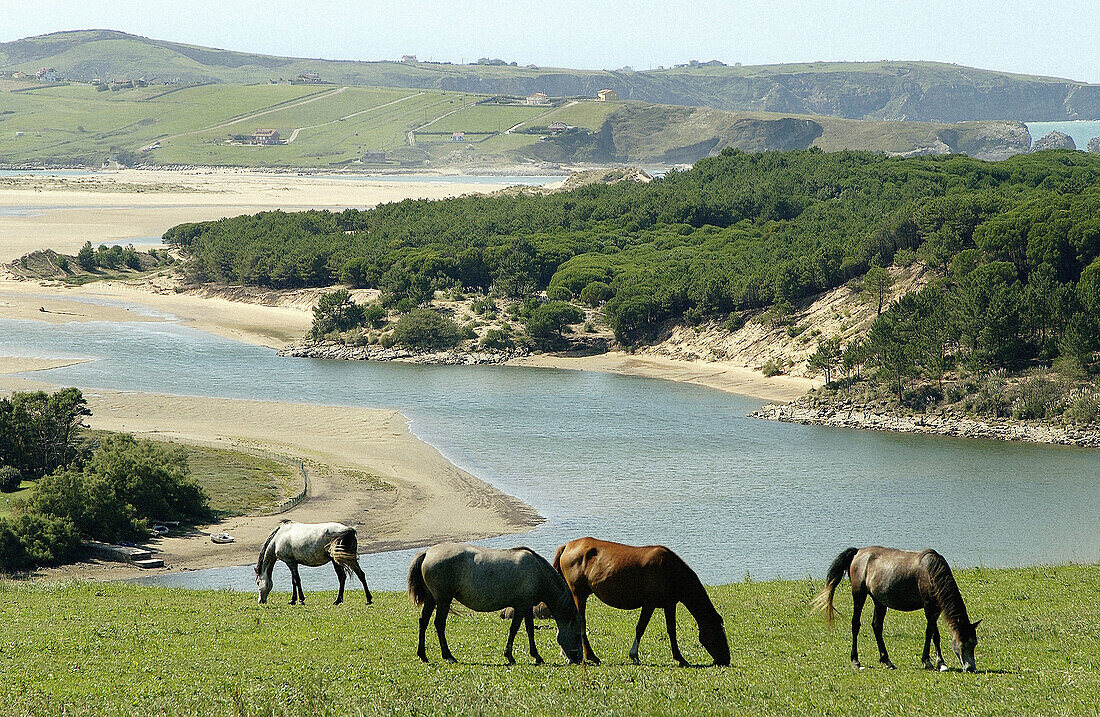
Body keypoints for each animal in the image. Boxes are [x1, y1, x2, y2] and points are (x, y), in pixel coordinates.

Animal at [409, 543, 589, 668]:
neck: (538, 571)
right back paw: (449, 656)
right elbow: (514, 630)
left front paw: (536, 656)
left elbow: (530, 630)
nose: (577, 659)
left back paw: (423, 655)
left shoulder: (527, 607)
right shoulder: (521, 607)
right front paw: (510, 656)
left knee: (423, 622)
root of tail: (427, 553)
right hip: (443, 601)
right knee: (439, 624)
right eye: (577, 635)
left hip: (432, 599)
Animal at [550, 536, 730, 668]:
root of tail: (566, 546)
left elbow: (672, 631)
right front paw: (634, 655)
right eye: (718, 634)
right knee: (580, 623)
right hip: (578, 594)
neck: (671, 570)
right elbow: (640, 628)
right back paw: (591, 656)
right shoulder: (649, 604)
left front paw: (680, 658)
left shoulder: (669, 604)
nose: (725, 660)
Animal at [814, 549, 985, 673]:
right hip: (859, 594)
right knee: (856, 624)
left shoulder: (935, 608)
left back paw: (887, 660)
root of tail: (857, 552)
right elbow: (930, 633)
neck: (931, 572)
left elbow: (935, 635)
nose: (971, 668)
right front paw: (928, 661)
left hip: (879, 602)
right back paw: (856, 661)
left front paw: (941, 663)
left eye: (974, 642)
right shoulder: (929, 607)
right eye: (963, 643)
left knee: (877, 626)